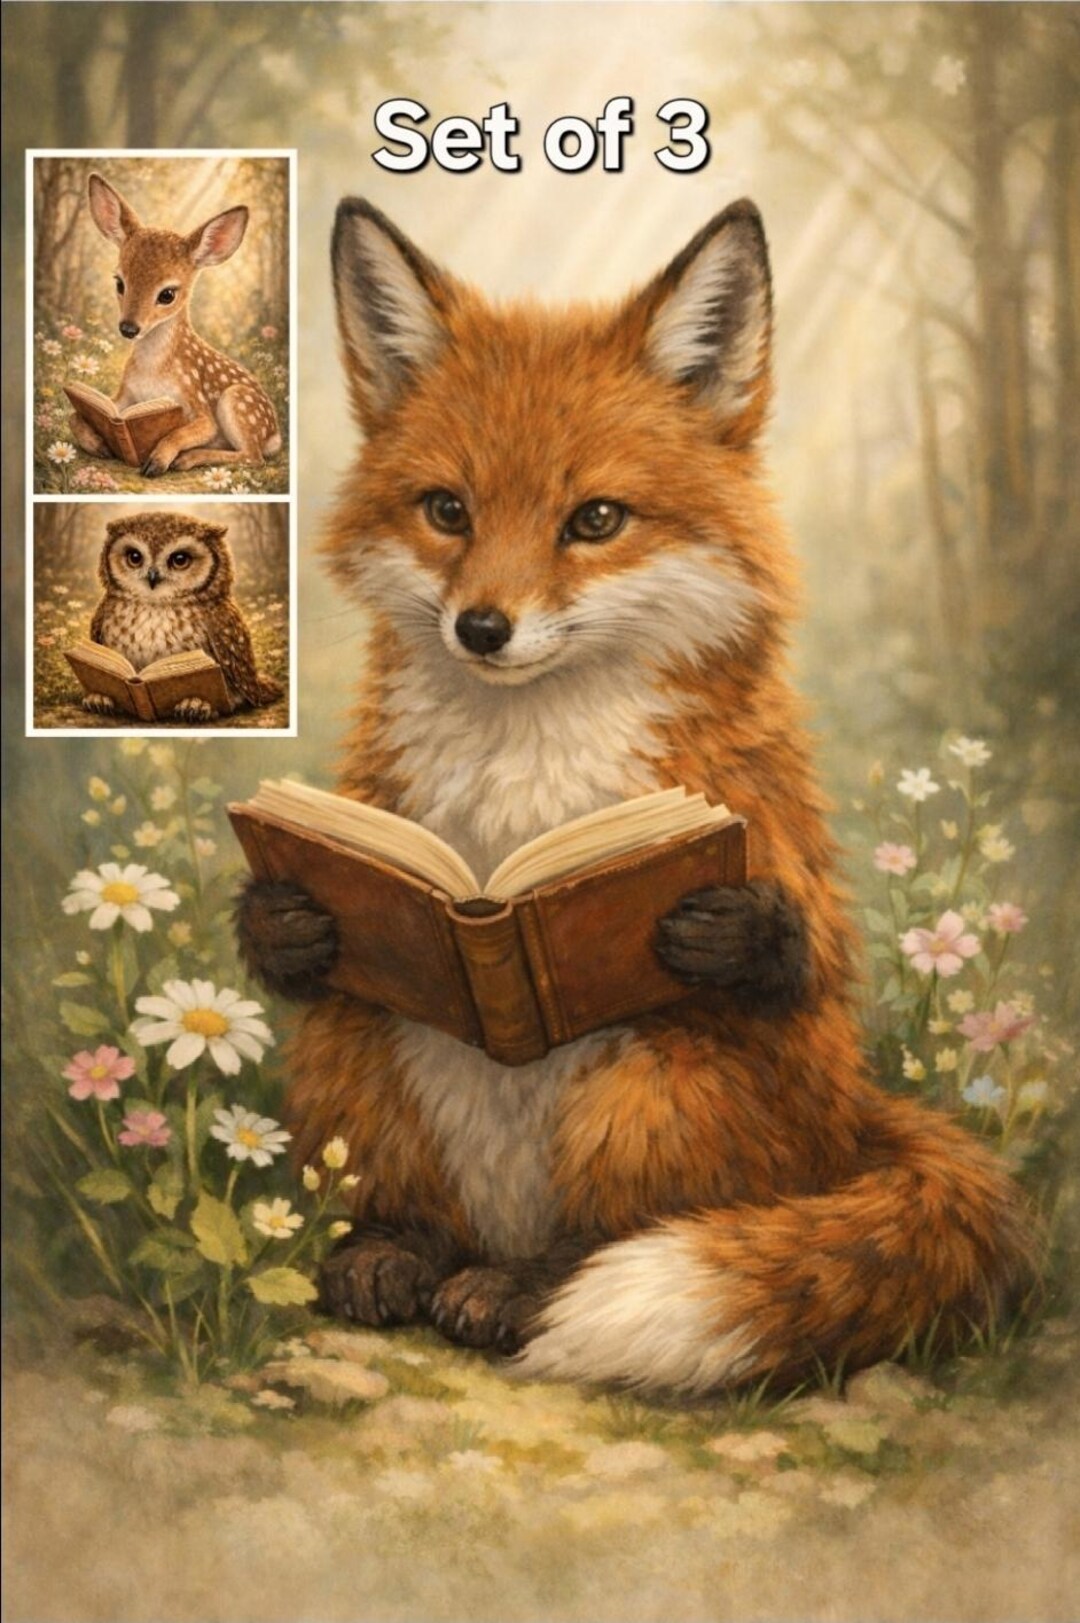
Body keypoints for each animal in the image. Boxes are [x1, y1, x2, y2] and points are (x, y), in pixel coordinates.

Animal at [69, 172, 282, 478]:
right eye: (119, 283)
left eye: (167, 294)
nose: (128, 328)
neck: (153, 370)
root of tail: (275, 434)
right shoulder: (125, 397)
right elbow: (76, 414)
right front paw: (97, 444)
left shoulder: (197, 404)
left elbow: (181, 432)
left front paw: (157, 462)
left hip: (238, 402)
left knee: (253, 456)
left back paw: (187, 459)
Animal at [235, 196, 1035, 1395]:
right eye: (447, 511)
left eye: (596, 520)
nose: (482, 628)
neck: (524, 778)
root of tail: (850, 1127)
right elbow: (298, 944)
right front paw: (283, 923)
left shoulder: (761, 814)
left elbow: (813, 950)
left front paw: (735, 929)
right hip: (363, 1041)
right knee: (408, 1176)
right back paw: (397, 1253)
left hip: (653, 1080)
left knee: (604, 1234)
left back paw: (519, 1291)